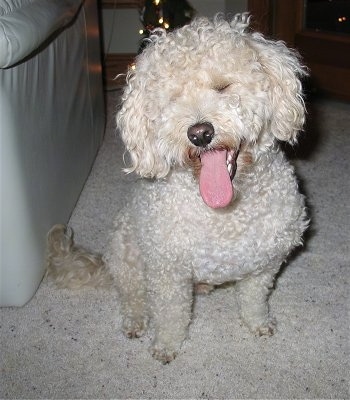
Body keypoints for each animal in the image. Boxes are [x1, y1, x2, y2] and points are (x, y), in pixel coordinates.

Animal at [47, 14, 308, 364]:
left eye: (223, 86)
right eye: (172, 98)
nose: (199, 133)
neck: (225, 215)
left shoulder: (264, 265)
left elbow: (253, 299)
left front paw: (258, 323)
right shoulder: (168, 274)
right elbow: (171, 315)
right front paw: (167, 345)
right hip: (127, 255)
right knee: (132, 295)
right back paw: (135, 320)